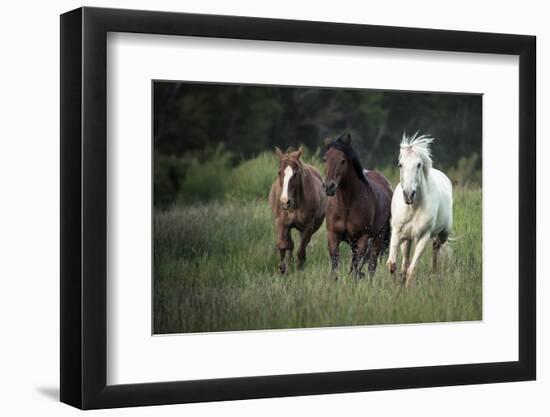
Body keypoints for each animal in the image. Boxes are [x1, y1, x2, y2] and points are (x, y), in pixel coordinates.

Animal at [326, 132, 394, 276]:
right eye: (325, 159)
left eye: (343, 160)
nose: (328, 186)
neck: (346, 205)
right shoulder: (333, 236)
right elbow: (335, 265)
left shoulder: (363, 238)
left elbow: (357, 266)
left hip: (377, 238)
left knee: (372, 265)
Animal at [386, 133, 454, 282]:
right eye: (400, 165)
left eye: (418, 165)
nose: (408, 194)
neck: (413, 207)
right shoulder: (397, 232)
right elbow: (392, 264)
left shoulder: (423, 237)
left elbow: (411, 270)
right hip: (408, 238)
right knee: (405, 260)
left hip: (443, 234)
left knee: (435, 248)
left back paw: (433, 274)